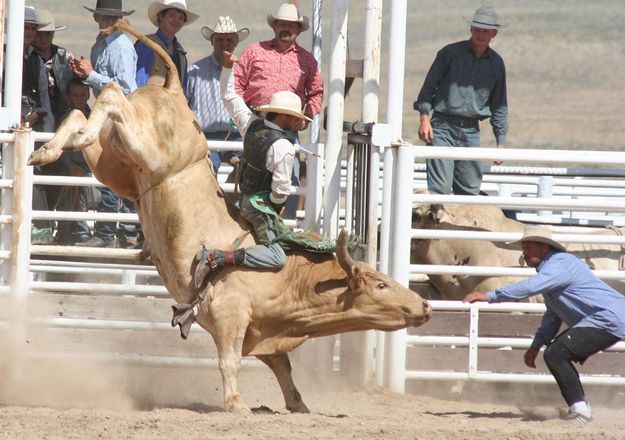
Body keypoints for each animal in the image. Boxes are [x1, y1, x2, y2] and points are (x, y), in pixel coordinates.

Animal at [28, 19, 428, 412]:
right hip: (145, 144)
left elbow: (283, 367)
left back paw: (50, 149)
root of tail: (173, 87)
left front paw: (298, 405)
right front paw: (236, 404)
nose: (424, 305)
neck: (292, 279)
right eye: (381, 284)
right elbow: (230, 360)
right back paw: (54, 147)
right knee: (111, 93)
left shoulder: (265, 333)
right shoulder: (230, 315)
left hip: (116, 164)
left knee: (81, 113)